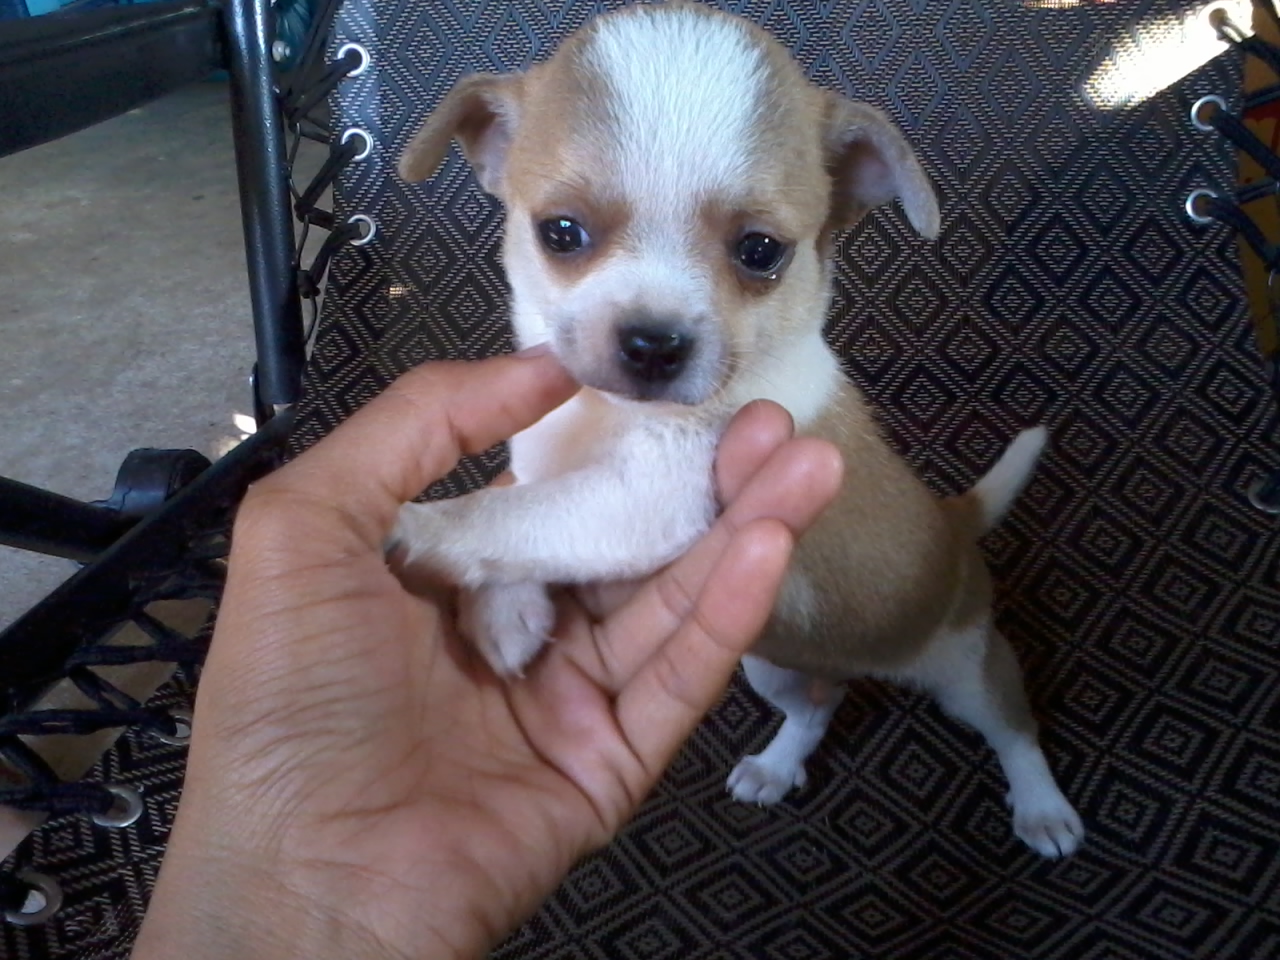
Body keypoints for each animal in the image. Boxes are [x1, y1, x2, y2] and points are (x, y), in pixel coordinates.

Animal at [390, 0, 1084, 858]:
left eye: (760, 251)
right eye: (560, 233)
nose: (652, 343)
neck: (611, 417)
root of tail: (954, 524)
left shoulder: (651, 499)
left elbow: (508, 514)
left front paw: (419, 529)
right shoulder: (559, 469)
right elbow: (527, 511)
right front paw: (508, 612)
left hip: (962, 666)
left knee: (1012, 723)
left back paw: (1042, 806)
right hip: (771, 662)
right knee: (818, 704)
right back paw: (778, 764)